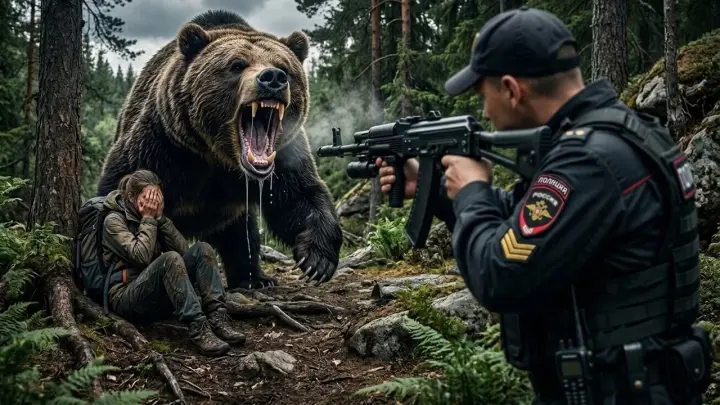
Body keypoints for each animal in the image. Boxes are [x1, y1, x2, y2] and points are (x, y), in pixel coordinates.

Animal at [96, 9, 343, 290]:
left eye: (285, 68)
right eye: (237, 65)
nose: (273, 78)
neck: (219, 158)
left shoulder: (283, 157)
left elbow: (301, 195)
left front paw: (317, 260)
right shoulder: (163, 146)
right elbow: (120, 183)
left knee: (242, 237)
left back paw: (254, 279)